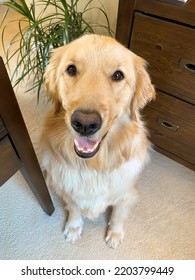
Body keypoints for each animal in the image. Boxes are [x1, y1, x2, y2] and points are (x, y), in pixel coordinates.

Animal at [40, 34, 156, 248]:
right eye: (71, 69)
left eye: (118, 75)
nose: (85, 123)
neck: (93, 165)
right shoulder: (67, 189)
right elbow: (74, 209)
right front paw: (73, 227)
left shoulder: (126, 193)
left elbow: (118, 214)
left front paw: (115, 233)